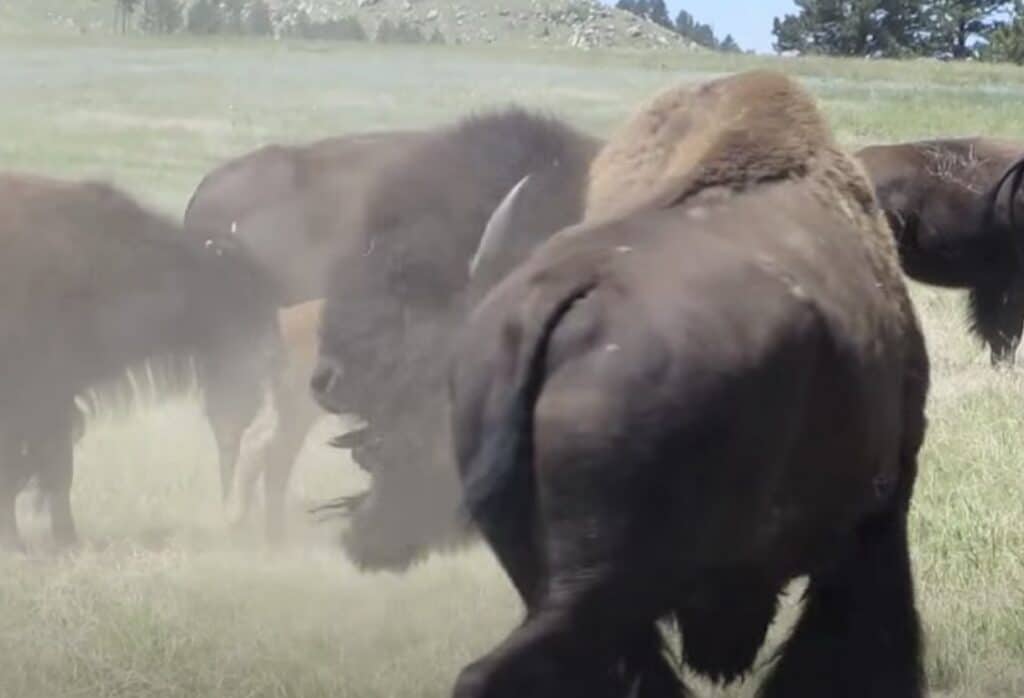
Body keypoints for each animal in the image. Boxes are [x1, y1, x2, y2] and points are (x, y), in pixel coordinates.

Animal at [0, 173, 277, 551]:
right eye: (239, 297)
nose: (271, 354)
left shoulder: (55, 400)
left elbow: (50, 468)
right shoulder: (37, 399)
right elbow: (40, 468)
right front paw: (41, 542)